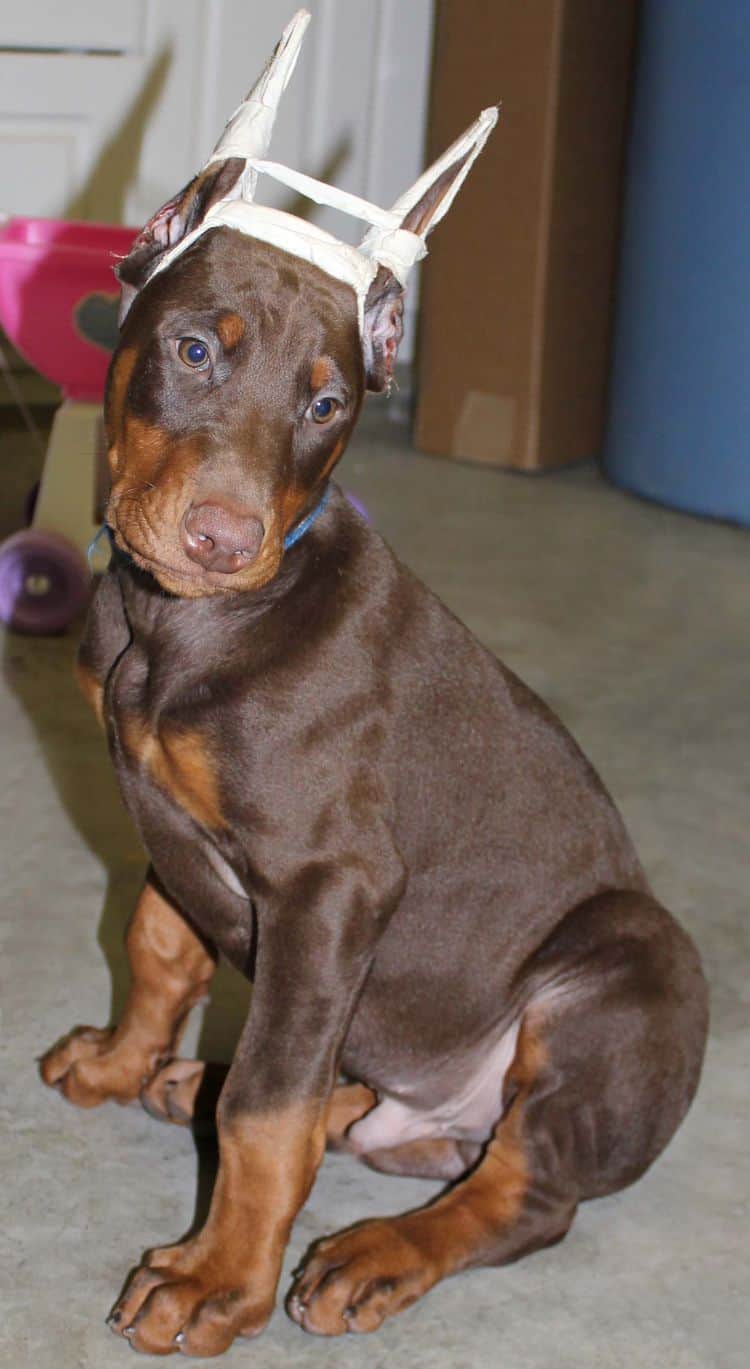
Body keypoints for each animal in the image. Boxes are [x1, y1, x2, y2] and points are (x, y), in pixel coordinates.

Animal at [38, 45, 706, 1358]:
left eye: (326, 404)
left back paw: (375, 1254)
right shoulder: (167, 822)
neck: (182, 626)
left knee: (523, 1192)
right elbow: (158, 946)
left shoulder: (330, 885)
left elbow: (268, 1109)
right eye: (194, 351)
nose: (223, 537)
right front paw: (125, 1057)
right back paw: (197, 1081)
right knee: (362, 1107)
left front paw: (217, 1281)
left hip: (627, 970)